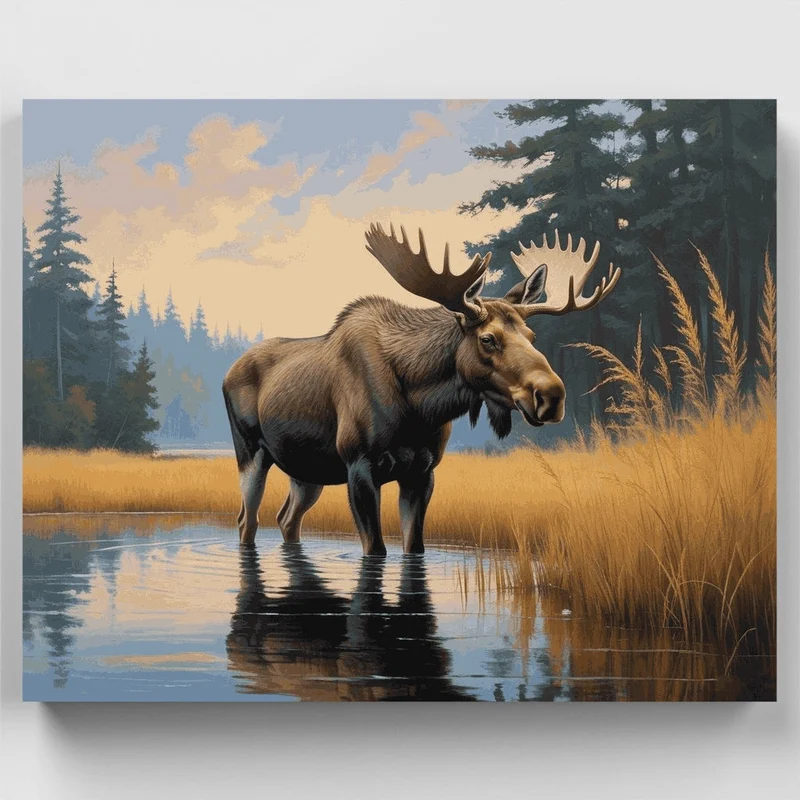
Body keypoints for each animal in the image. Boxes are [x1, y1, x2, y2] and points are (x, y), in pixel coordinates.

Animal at [223, 224, 620, 555]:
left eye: (532, 336)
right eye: (488, 339)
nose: (551, 395)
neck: (419, 407)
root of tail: (229, 372)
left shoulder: (422, 470)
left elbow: (415, 547)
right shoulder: (358, 464)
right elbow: (376, 549)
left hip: (307, 470)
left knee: (286, 518)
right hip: (251, 452)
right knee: (247, 520)